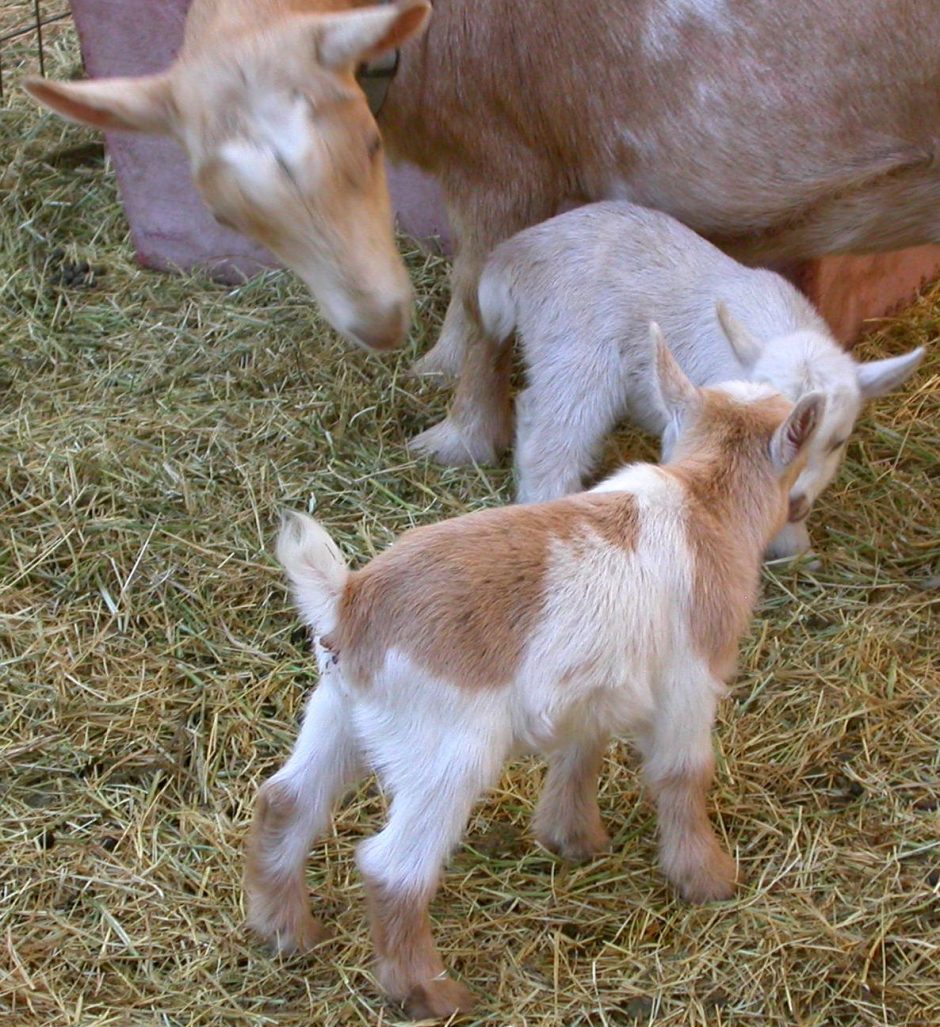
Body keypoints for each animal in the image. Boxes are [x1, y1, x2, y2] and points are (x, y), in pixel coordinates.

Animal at [246, 328, 823, 1018]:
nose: (801, 506)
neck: (702, 499)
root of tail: (351, 599)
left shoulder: (592, 688)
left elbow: (580, 751)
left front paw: (572, 838)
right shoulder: (690, 684)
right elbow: (685, 775)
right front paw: (706, 878)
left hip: (337, 714)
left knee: (285, 801)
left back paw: (286, 930)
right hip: (447, 754)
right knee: (392, 867)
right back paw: (431, 993)